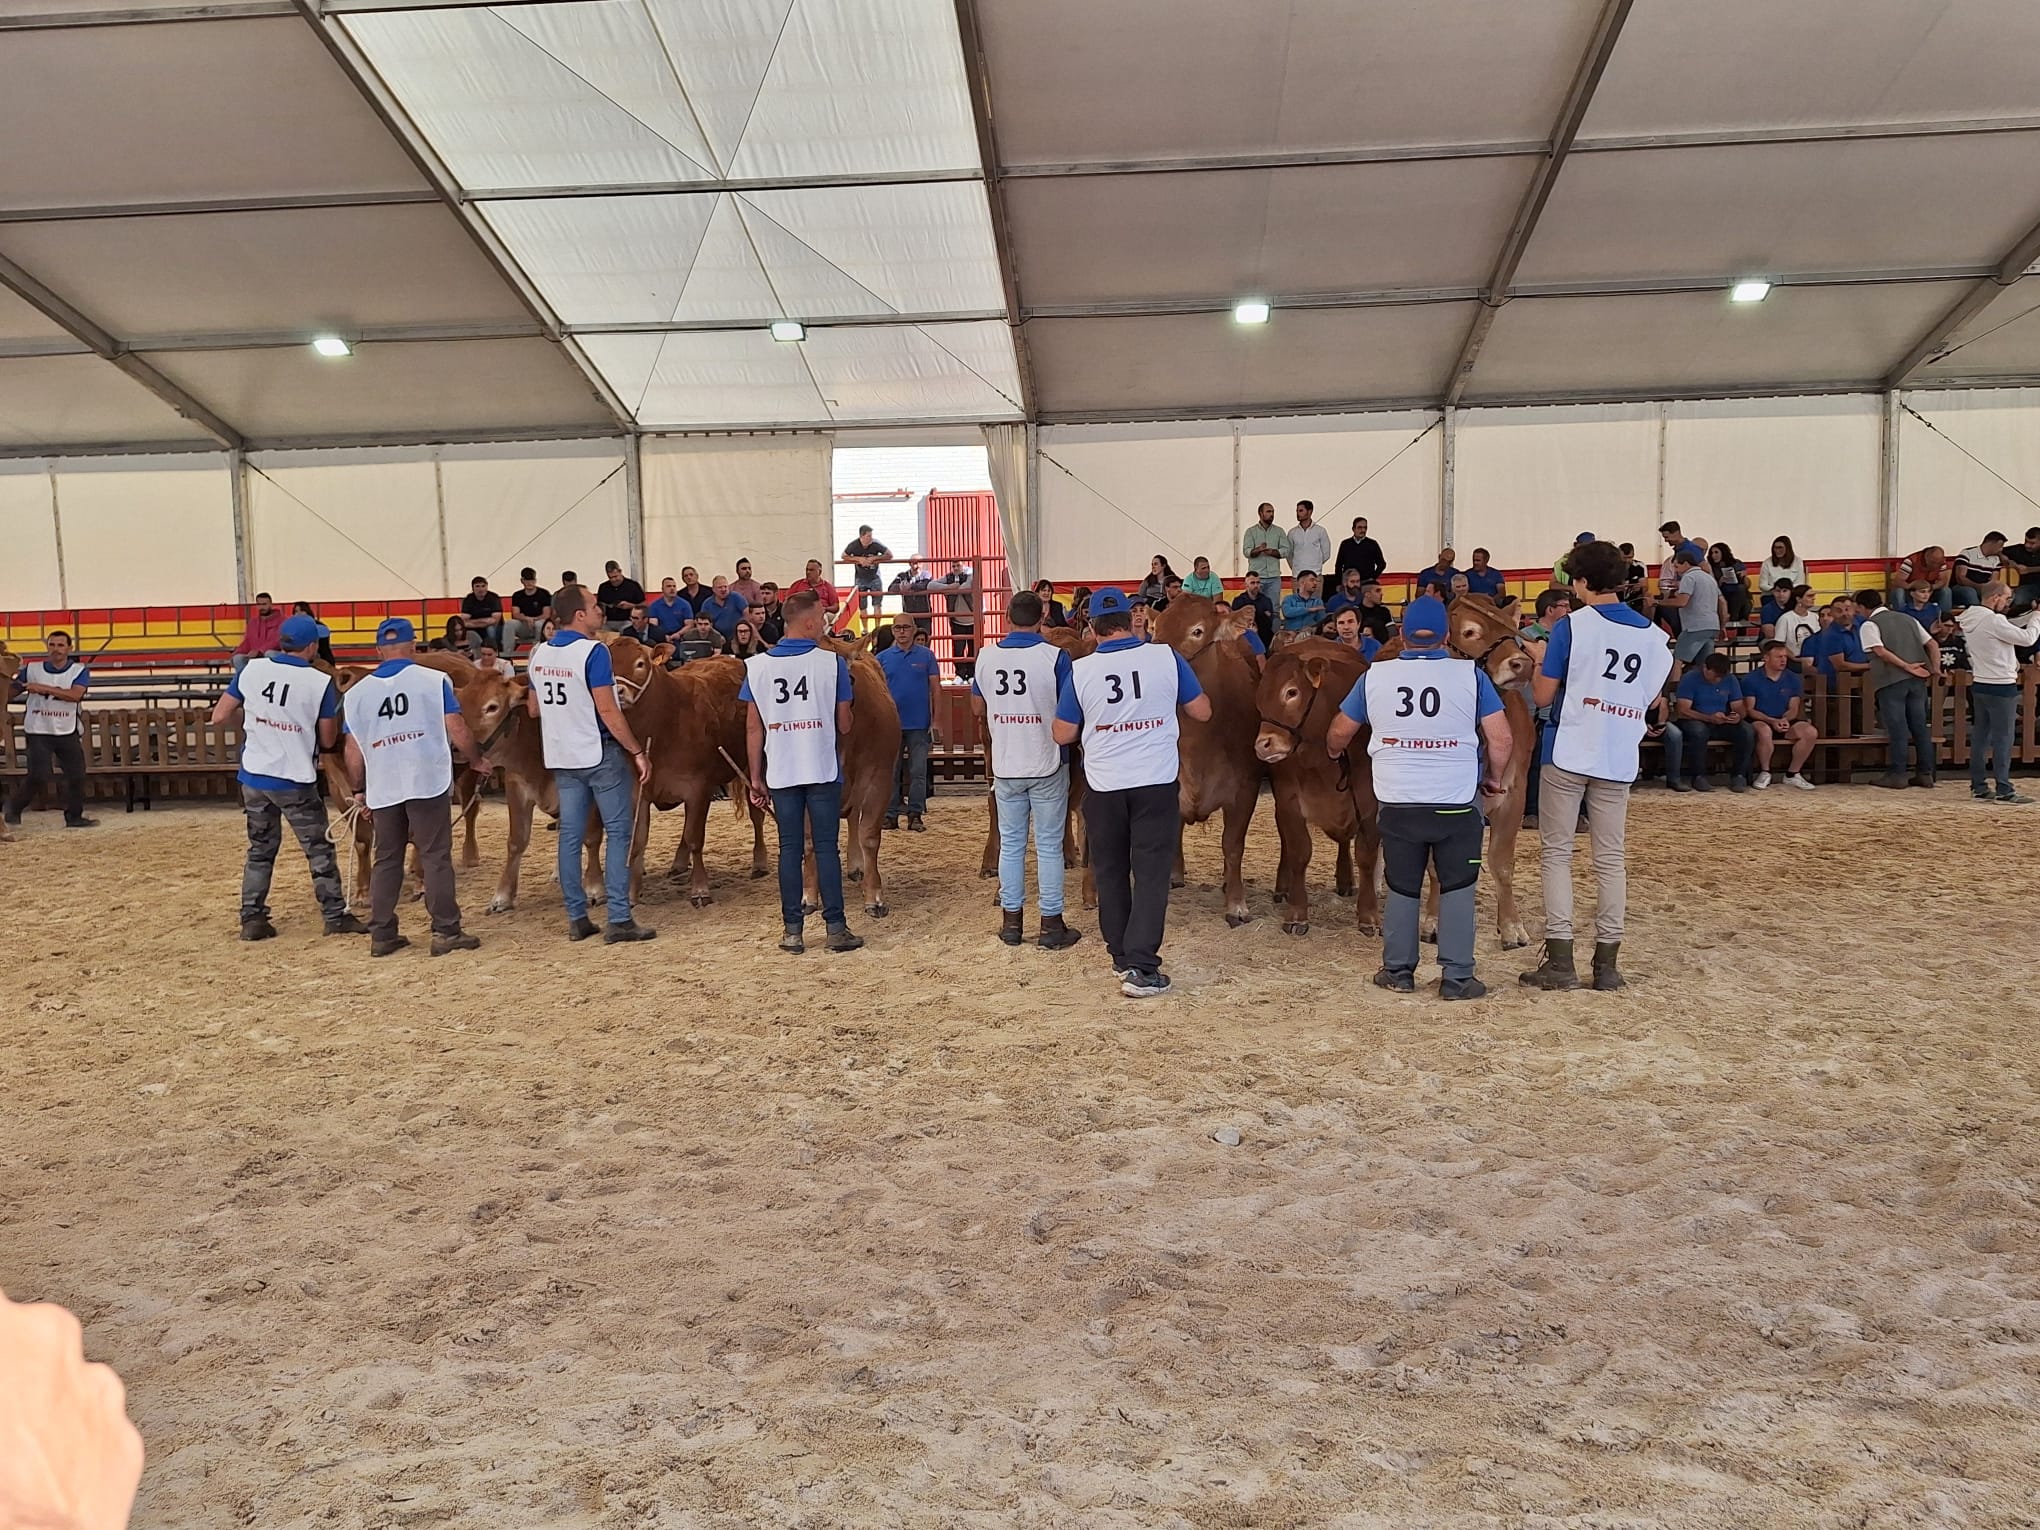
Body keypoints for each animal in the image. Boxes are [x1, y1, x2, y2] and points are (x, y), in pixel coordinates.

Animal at [1240, 636, 1387, 934]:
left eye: (1291, 692)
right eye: (1260, 695)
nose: (1263, 745)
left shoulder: (1369, 803)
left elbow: (1366, 856)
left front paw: (1368, 915)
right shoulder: (1289, 800)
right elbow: (1299, 851)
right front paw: (1297, 912)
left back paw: (1345, 880)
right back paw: (1283, 886)